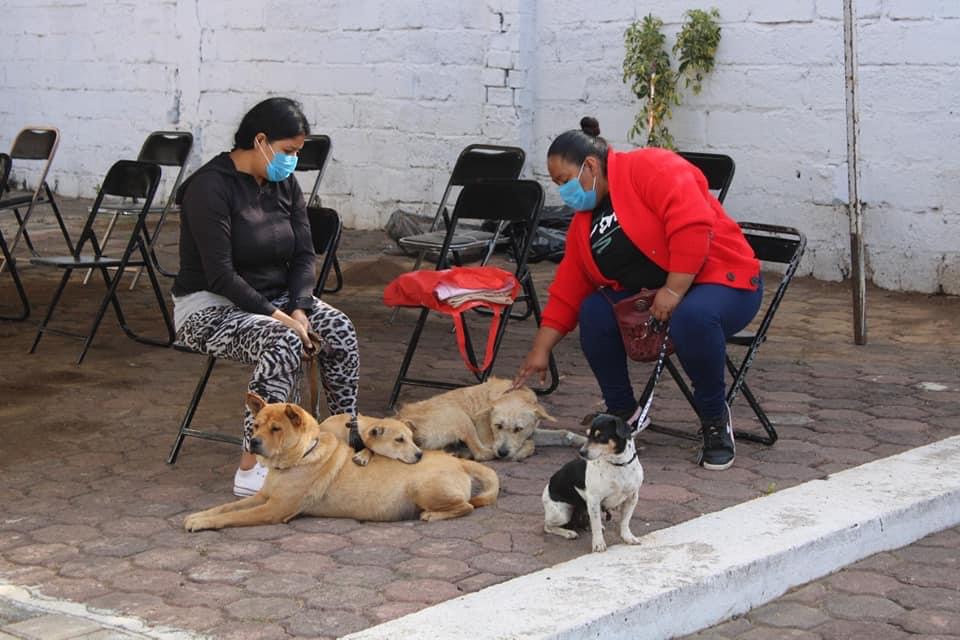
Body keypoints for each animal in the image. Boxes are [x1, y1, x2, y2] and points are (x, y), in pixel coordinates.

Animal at [182, 392, 502, 532]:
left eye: (276, 429)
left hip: (423, 489)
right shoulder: (263, 497)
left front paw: (204, 523)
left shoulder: (274, 509)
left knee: (467, 506)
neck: (302, 456)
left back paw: (433, 515)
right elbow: (226, 507)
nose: (253, 443)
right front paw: (200, 515)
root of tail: (459, 462)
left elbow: (233, 516)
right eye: (256, 425)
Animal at [398, 376, 560, 460]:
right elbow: (531, 444)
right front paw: (521, 451)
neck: (511, 392)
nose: (502, 453)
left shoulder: (532, 431)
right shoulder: (488, 440)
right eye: (498, 426)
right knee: (481, 454)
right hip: (460, 416)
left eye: (519, 429)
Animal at [544, 412, 640, 552]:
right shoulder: (594, 500)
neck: (617, 465)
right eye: (587, 434)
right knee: (547, 526)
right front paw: (598, 544)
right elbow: (596, 525)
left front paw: (628, 537)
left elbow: (625, 521)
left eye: (601, 436)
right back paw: (568, 533)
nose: (581, 452)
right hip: (562, 513)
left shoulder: (632, 497)